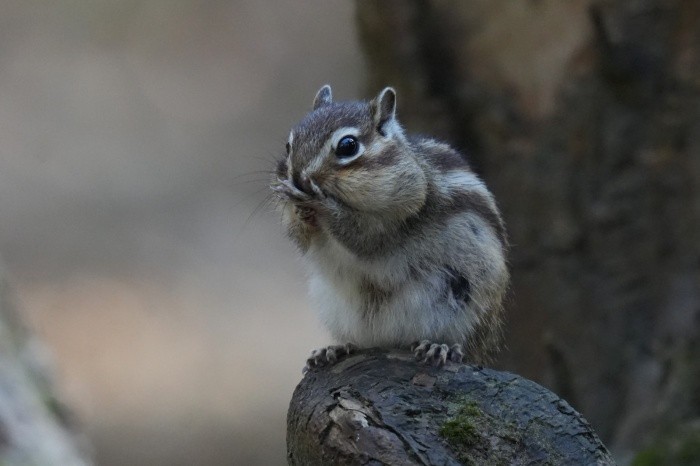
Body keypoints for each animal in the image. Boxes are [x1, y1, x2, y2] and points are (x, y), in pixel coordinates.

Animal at [272, 85, 509, 369]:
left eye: (348, 146)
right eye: (289, 145)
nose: (297, 177)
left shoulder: (406, 209)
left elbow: (366, 239)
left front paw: (321, 203)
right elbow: (302, 238)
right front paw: (298, 210)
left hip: (468, 303)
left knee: (464, 343)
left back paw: (441, 347)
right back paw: (335, 349)